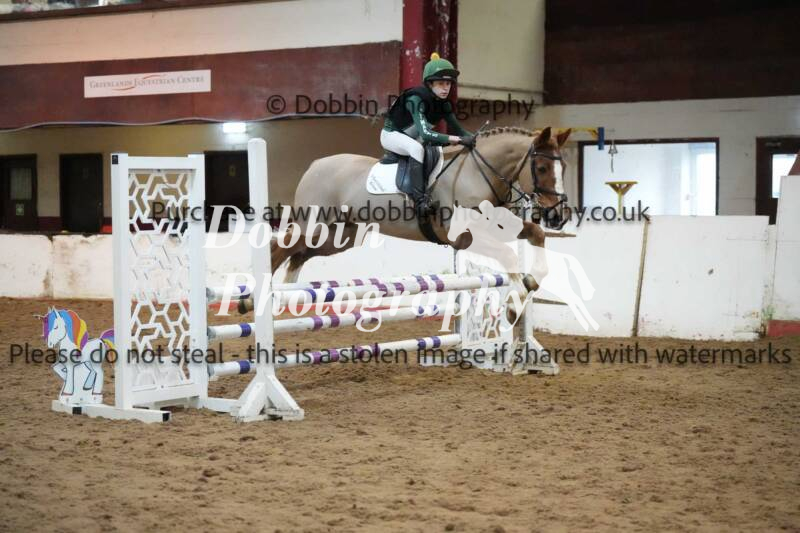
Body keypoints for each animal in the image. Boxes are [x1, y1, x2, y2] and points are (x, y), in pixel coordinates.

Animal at [271, 126, 572, 297]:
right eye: (542, 168)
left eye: (564, 167)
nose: (559, 216)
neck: (477, 173)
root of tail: (314, 165)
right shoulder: (464, 236)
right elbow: (507, 253)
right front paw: (519, 293)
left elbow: (535, 233)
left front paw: (533, 280)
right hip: (315, 226)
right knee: (280, 246)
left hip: (340, 236)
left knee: (298, 255)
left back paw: (288, 293)